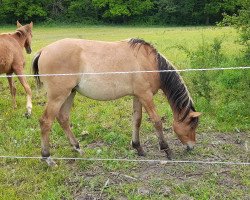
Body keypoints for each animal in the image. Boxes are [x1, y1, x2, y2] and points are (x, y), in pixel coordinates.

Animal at [32, 37, 201, 166]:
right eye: (192, 125)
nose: (192, 147)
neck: (150, 62)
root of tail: (43, 50)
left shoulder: (138, 96)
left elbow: (137, 120)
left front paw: (138, 148)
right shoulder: (146, 96)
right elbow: (157, 121)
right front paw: (166, 150)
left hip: (70, 94)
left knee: (63, 118)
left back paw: (77, 148)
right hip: (58, 96)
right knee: (46, 122)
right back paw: (47, 158)